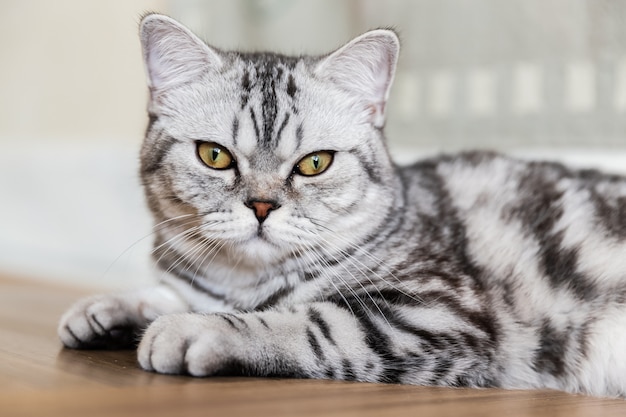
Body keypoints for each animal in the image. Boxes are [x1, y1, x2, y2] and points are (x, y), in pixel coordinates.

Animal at [57, 13, 624, 396]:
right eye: (214, 155)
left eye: (314, 164)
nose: (261, 206)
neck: (243, 282)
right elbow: (171, 293)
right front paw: (107, 309)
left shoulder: (434, 313)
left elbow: (303, 321)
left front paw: (193, 328)